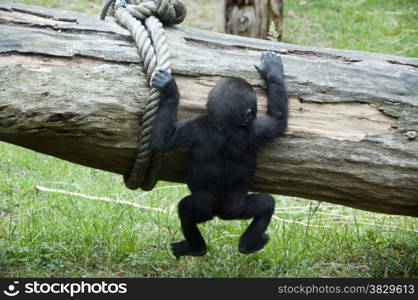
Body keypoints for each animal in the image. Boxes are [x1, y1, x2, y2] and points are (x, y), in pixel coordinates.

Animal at [152, 51, 290, 258]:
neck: (226, 124)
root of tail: (220, 213)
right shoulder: (255, 127)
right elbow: (278, 120)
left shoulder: (201, 125)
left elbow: (162, 139)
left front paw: (169, 90)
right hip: (229, 209)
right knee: (266, 205)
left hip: (227, 209)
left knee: (187, 212)